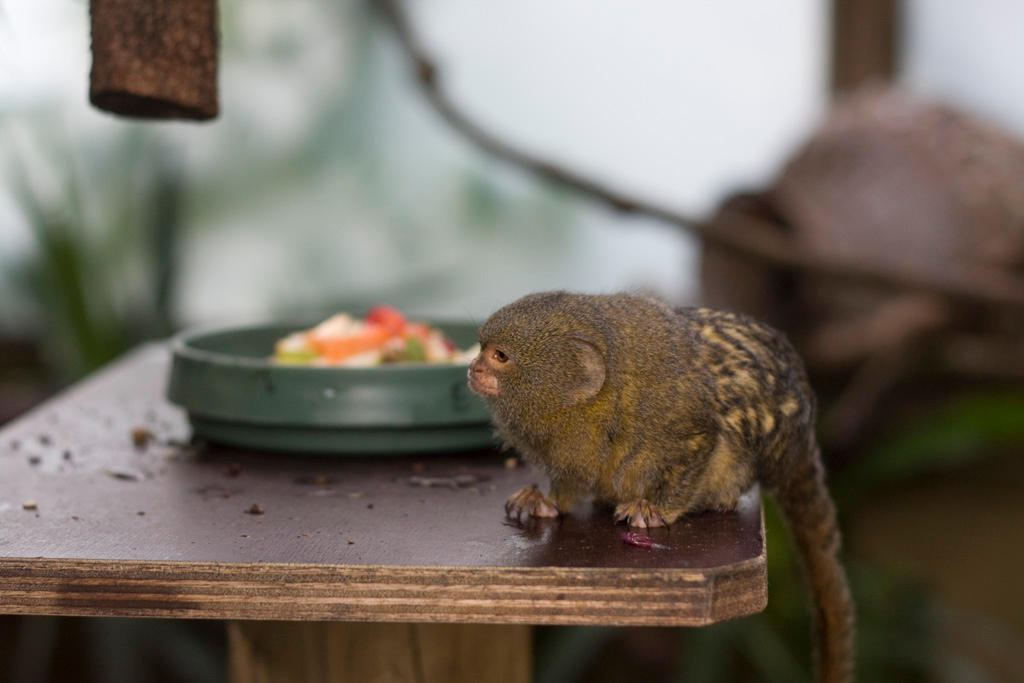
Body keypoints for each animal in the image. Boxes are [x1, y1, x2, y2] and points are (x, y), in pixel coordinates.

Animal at [467, 291, 854, 683]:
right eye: (482, 350)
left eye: (500, 356)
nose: (473, 369)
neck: (601, 400)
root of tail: (799, 442)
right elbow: (569, 480)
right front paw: (545, 501)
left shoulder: (679, 421)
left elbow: (700, 448)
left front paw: (654, 509)